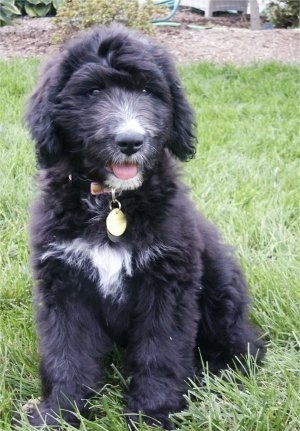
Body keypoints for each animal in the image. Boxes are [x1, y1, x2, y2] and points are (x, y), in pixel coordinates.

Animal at [21, 24, 264, 431]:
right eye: (93, 92)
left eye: (149, 91)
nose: (131, 141)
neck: (113, 202)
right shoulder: (64, 282)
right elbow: (66, 352)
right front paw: (60, 411)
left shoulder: (167, 283)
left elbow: (161, 350)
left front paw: (153, 413)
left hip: (220, 277)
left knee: (246, 344)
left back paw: (214, 372)